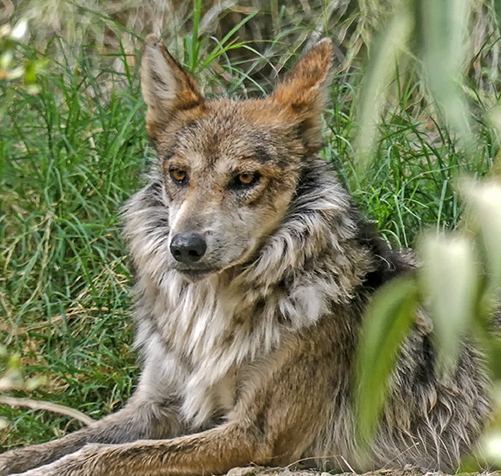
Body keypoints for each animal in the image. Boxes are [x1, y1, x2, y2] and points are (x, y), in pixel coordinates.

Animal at [0, 36, 490, 476]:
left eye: (245, 178)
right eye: (179, 174)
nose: (184, 247)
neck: (208, 314)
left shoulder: (256, 436)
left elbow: (99, 457)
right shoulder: (155, 406)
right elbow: (54, 447)